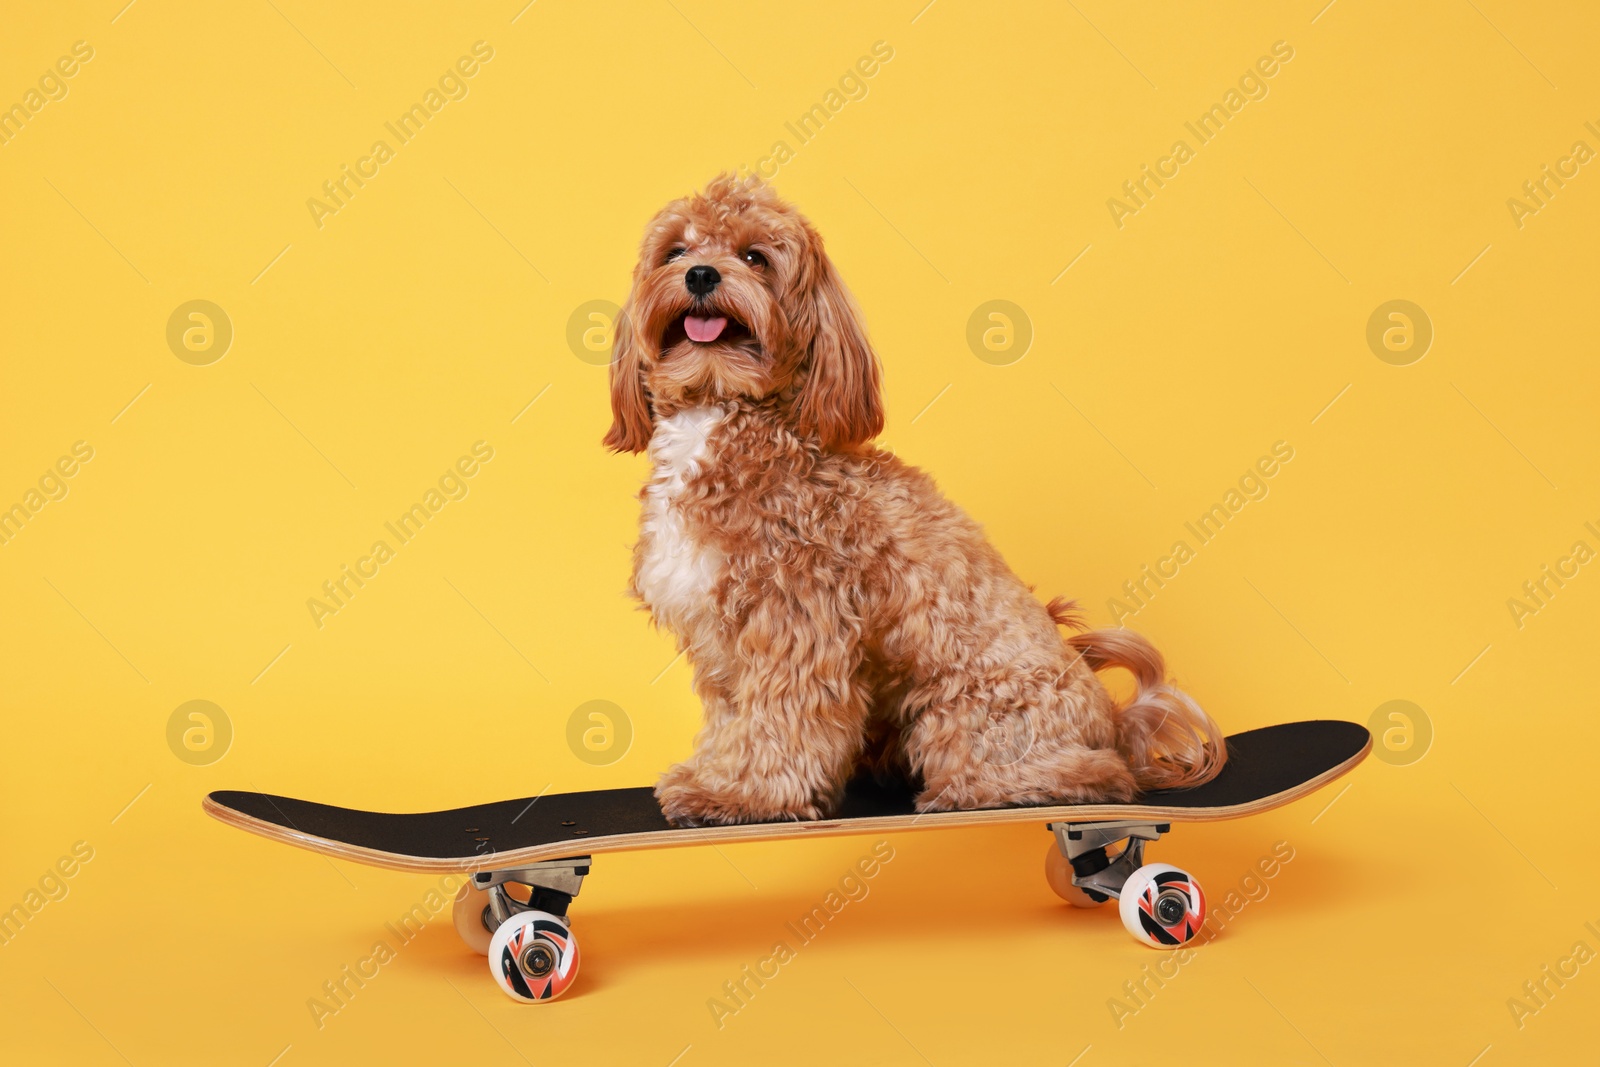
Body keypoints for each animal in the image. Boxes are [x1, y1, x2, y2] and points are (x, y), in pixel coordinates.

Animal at [601, 175, 1222, 825]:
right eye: (675, 251)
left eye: (755, 258)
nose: (700, 275)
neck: (720, 414)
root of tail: (1114, 720)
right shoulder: (720, 638)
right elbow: (732, 719)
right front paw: (717, 777)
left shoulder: (797, 621)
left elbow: (781, 720)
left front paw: (747, 796)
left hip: (971, 711)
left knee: (1092, 775)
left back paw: (983, 788)